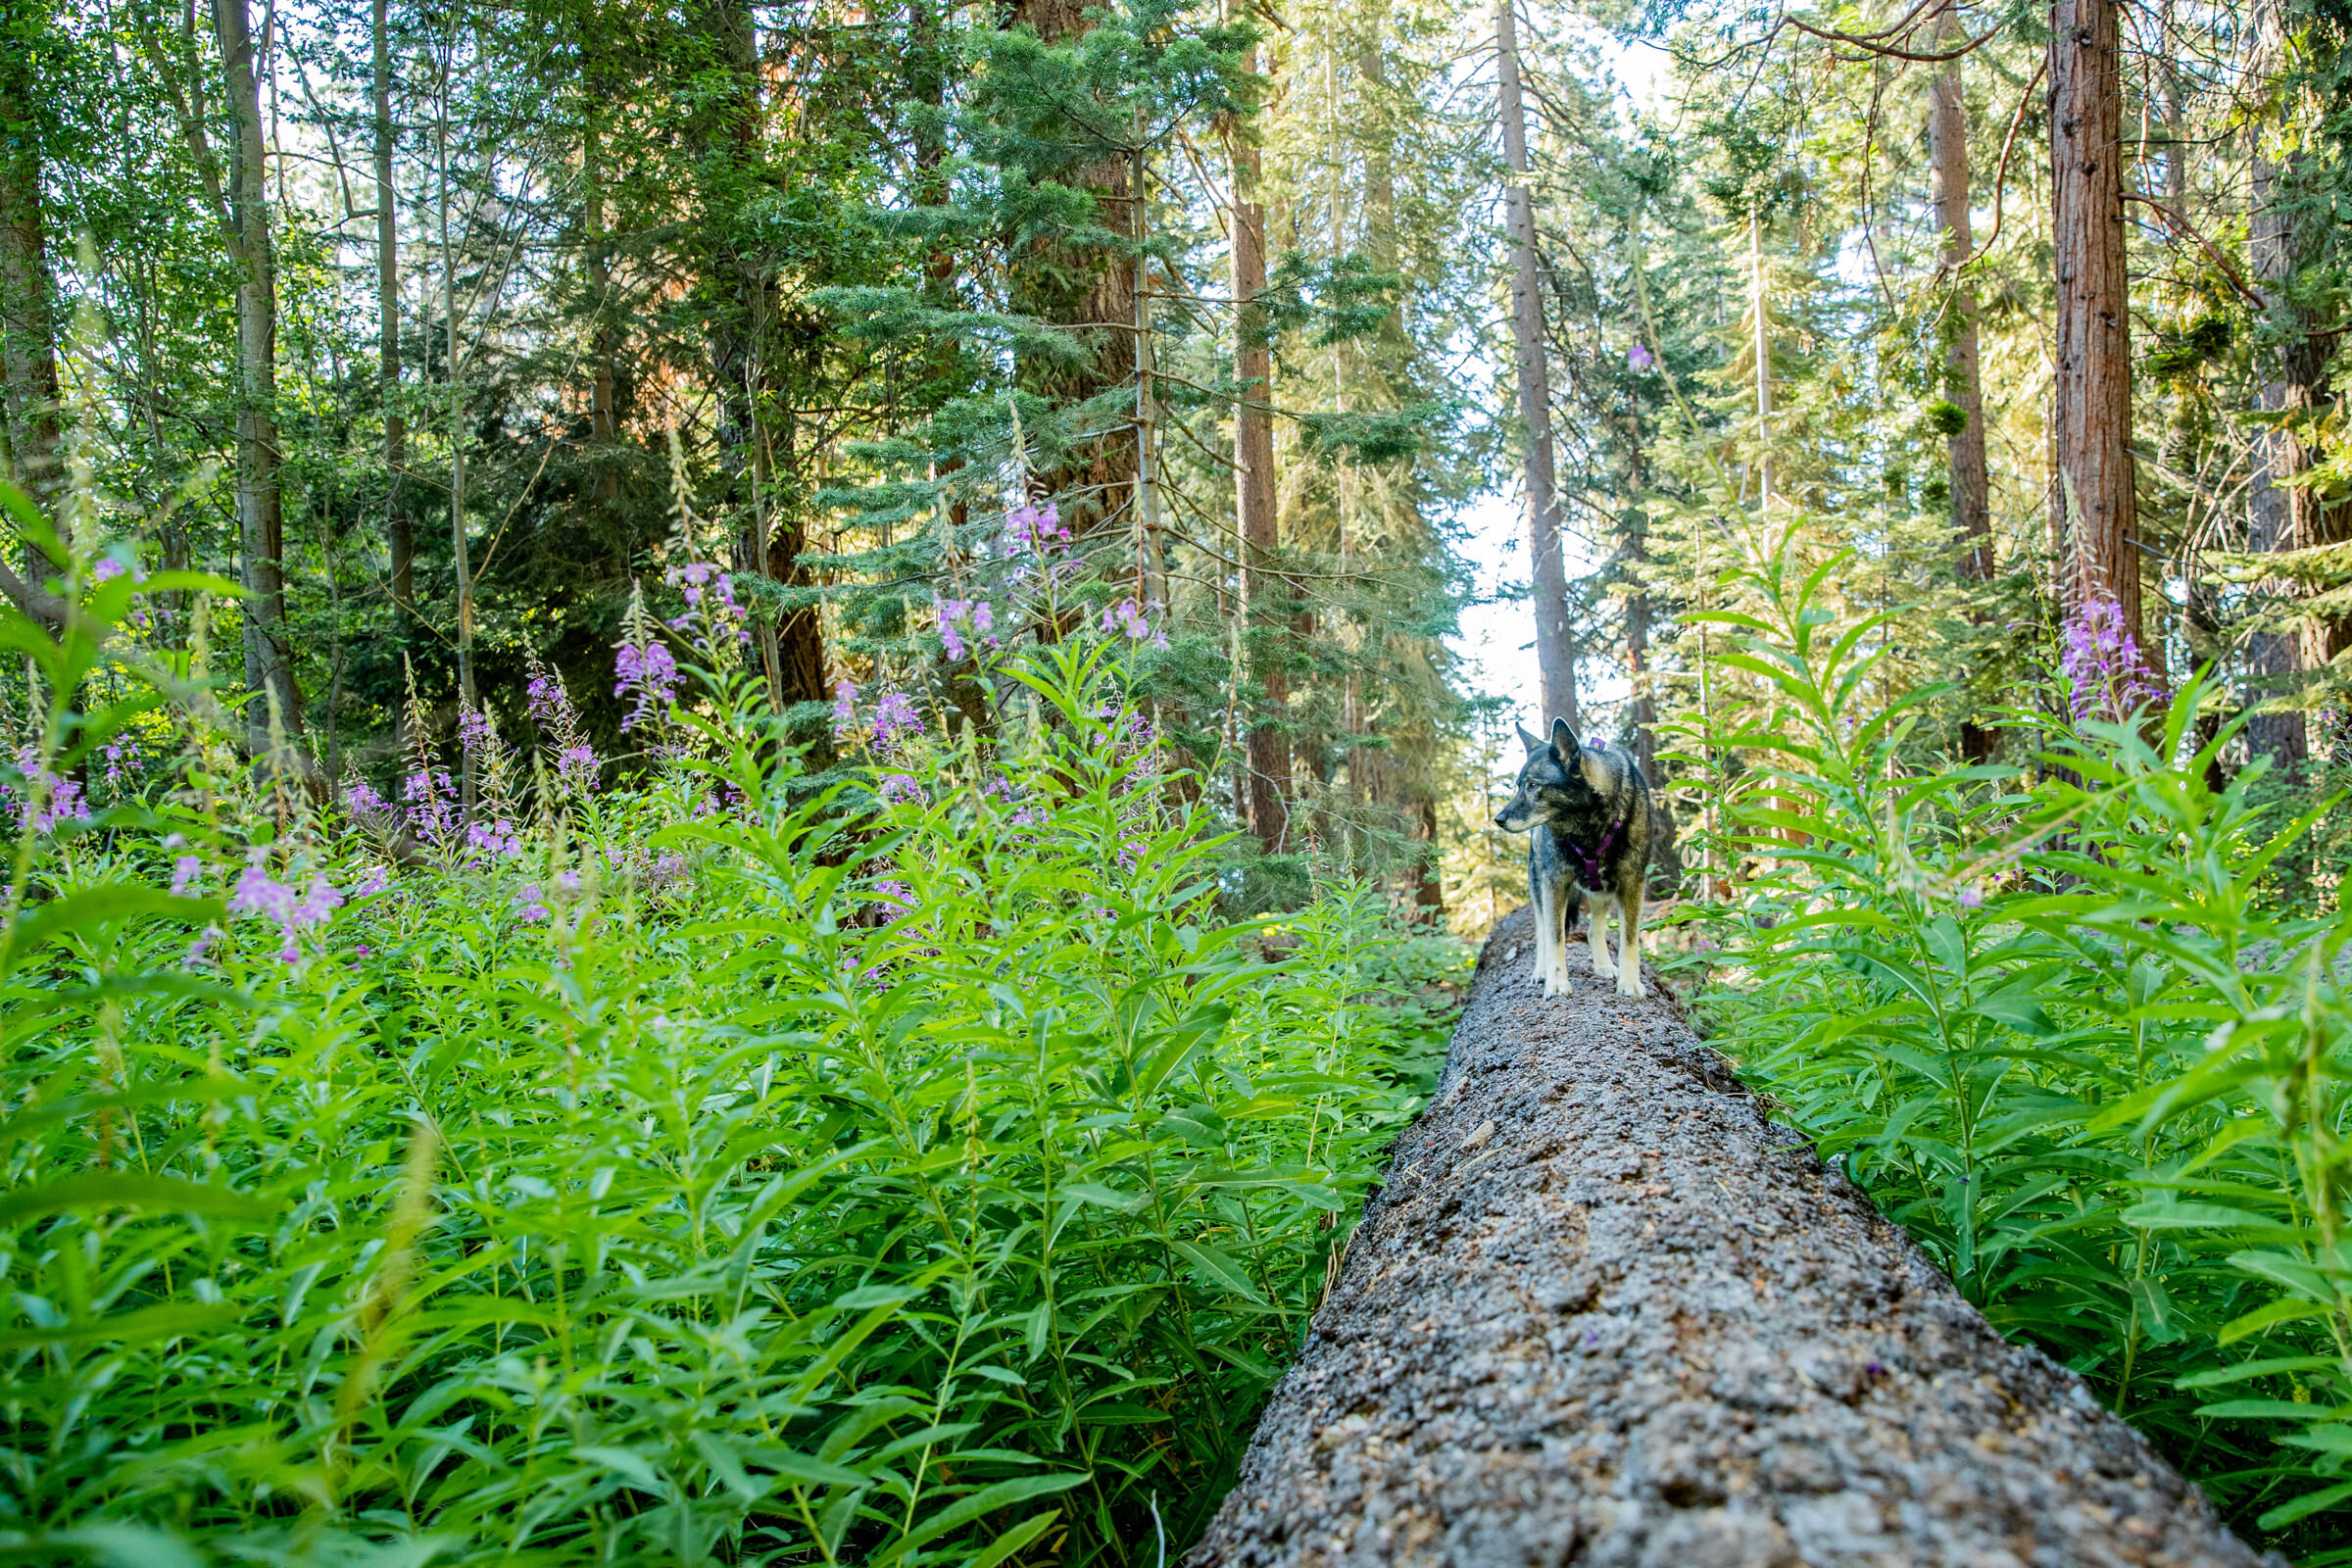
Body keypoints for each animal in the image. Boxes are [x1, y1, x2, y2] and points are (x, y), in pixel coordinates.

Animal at [1486, 719, 1655, 1001]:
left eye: (1533, 785)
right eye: (1519, 785)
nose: (1498, 819)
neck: (1589, 828)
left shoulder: (1633, 883)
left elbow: (1629, 939)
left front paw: (1630, 981)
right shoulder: (1555, 883)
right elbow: (1555, 938)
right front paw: (1555, 982)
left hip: (1601, 889)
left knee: (1593, 929)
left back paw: (1603, 965)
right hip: (1539, 887)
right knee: (1542, 932)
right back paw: (1541, 970)